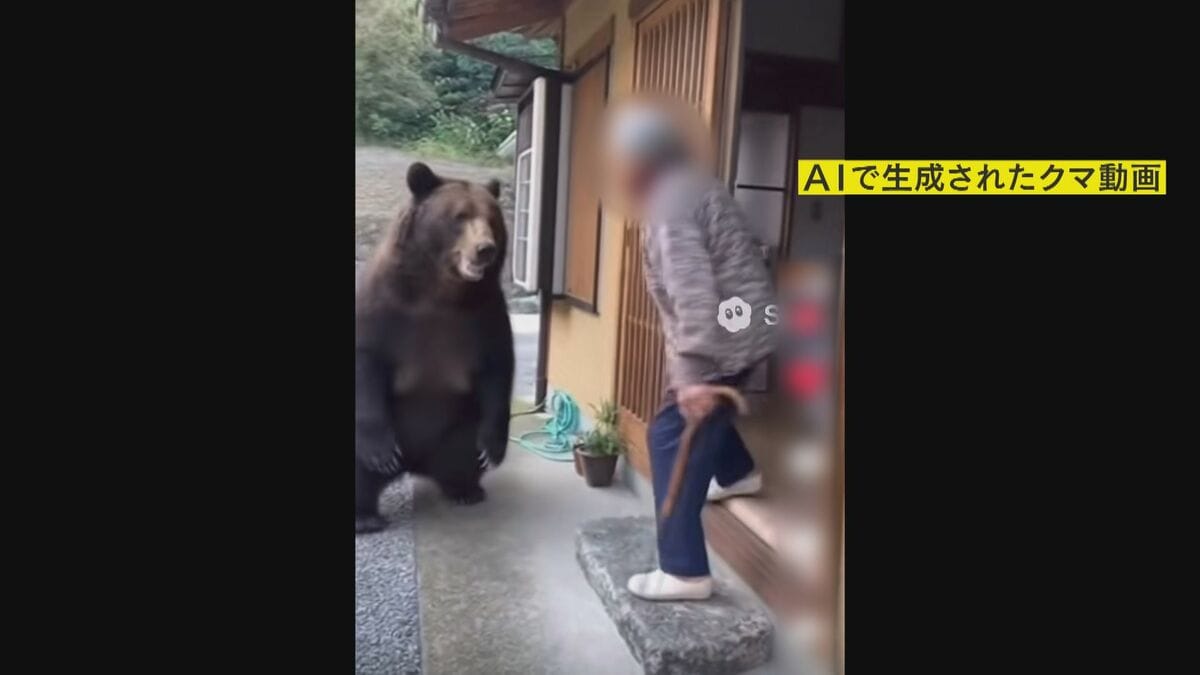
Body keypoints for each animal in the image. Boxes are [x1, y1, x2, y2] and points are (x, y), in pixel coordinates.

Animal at [355, 162, 514, 534]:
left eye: (492, 218)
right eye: (460, 216)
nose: (485, 248)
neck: (441, 290)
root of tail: (414, 464)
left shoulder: (484, 313)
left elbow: (497, 366)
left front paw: (492, 448)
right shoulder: (384, 305)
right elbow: (366, 357)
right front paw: (379, 452)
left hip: (456, 428)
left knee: (461, 454)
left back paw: (465, 490)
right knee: (358, 471)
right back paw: (365, 516)